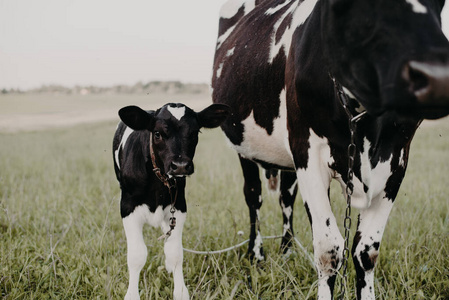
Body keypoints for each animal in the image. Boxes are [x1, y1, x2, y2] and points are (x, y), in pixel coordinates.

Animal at [112, 102, 231, 298]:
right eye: (157, 133)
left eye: (194, 132)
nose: (180, 166)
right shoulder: (127, 207)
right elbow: (137, 255)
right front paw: (132, 295)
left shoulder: (179, 206)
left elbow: (175, 253)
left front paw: (181, 292)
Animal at [212, 0, 448, 298]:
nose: (437, 77)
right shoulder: (307, 153)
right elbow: (329, 250)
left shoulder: (397, 161)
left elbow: (366, 252)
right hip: (245, 147)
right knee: (254, 197)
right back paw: (256, 255)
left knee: (286, 198)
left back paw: (287, 253)